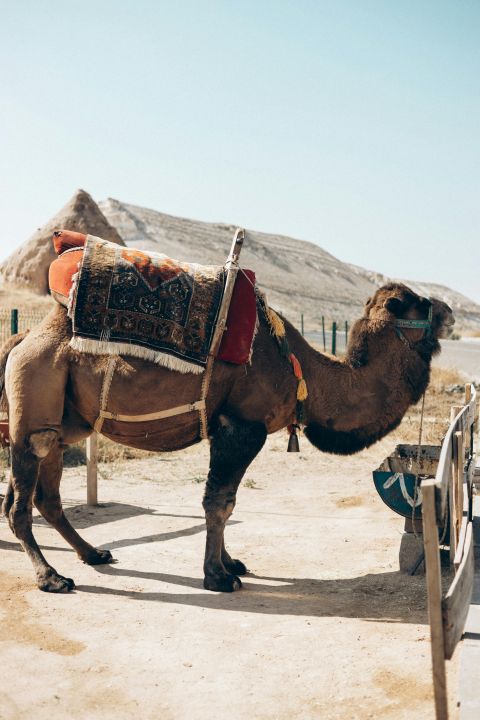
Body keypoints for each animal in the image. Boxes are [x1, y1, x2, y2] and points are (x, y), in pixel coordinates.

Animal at [0, 281, 453, 593]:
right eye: (418, 302)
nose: (449, 310)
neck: (302, 371)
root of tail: (23, 339)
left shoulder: (230, 430)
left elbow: (228, 502)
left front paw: (231, 564)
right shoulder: (241, 427)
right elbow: (218, 503)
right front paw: (217, 577)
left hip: (64, 419)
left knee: (47, 496)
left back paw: (93, 554)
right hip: (35, 402)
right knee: (20, 503)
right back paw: (51, 578)